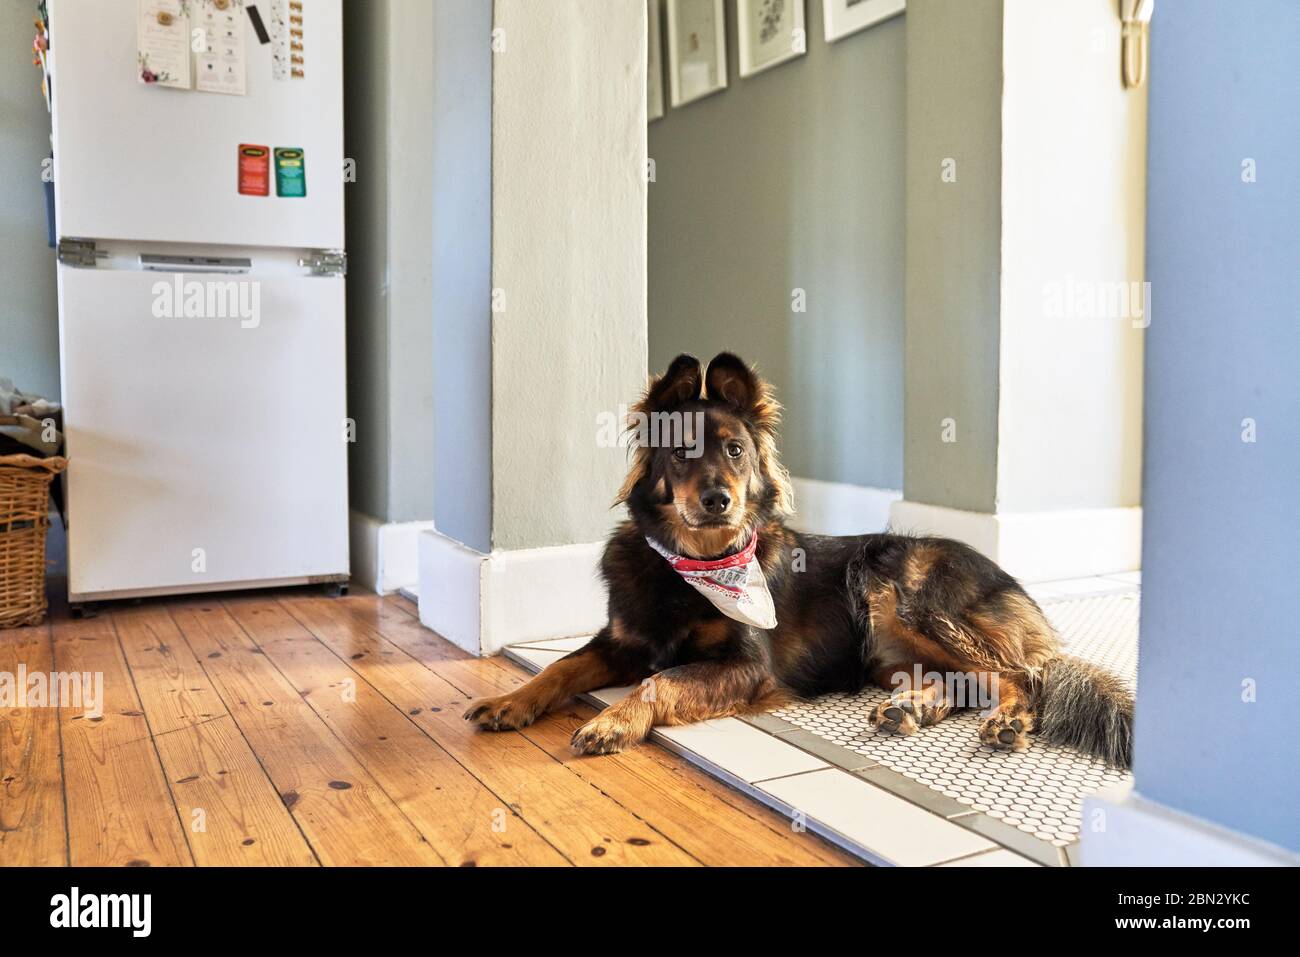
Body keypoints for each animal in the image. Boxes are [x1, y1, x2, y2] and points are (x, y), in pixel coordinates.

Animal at [462, 356, 1133, 764]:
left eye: (735, 450)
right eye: (680, 452)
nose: (718, 499)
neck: (693, 566)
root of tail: (1008, 577)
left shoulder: (745, 665)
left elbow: (659, 680)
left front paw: (613, 723)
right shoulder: (619, 640)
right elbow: (559, 668)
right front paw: (509, 701)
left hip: (894, 588)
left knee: (1024, 676)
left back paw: (1009, 722)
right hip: (887, 647)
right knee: (961, 680)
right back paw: (910, 708)